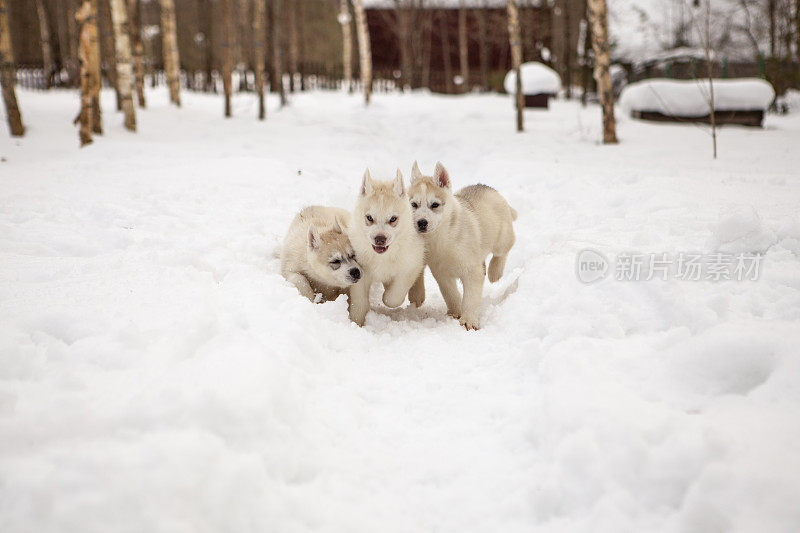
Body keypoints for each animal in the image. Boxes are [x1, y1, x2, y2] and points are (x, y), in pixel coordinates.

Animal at [348, 168, 428, 326]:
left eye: (393, 219)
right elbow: (359, 302)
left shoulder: (409, 267)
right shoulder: (359, 271)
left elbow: (393, 297)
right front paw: (356, 322)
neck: (382, 257)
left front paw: (386, 296)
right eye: (369, 218)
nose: (380, 239)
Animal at [410, 161, 516, 328]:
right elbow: (450, 294)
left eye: (435, 205)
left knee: (503, 251)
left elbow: (471, 298)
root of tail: (488, 187)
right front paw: (455, 312)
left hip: (502, 239)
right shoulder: (442, 273)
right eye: (414, 204)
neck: (442, 238)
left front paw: (469, 321)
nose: (421, 223)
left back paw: (495, 272)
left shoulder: (471, 271)